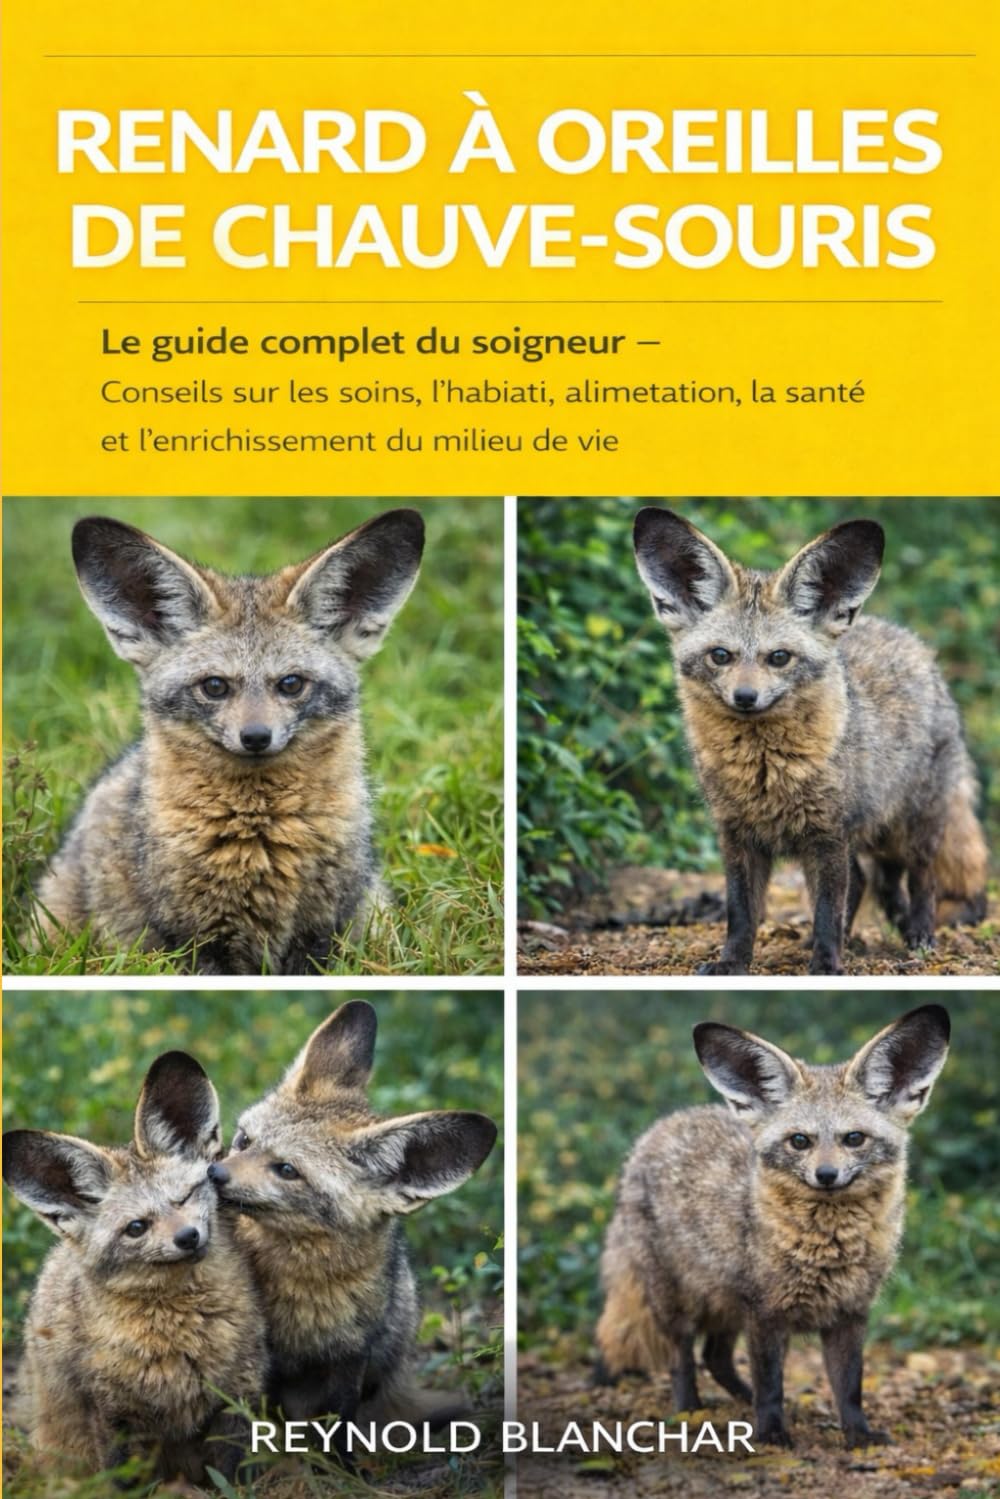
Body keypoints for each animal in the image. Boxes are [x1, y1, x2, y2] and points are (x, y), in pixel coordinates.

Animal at [2, 1050, 267, 1481]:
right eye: (136, 1228)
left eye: (184, 1198)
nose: (188, 1237)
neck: (181, 1335)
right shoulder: (113, 1415)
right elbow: (124, 1480)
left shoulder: (240, 1393)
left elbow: (235, 1475)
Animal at [33, 507, 425, 974]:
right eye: (215, 686)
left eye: (291, 684)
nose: (255, 736)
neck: (260, 834)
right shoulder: (194, 941)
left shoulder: (320, 931)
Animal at [208, 1000, 497, 1453]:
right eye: (243, 1141)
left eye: (287, 1170)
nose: (213, 1173)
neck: (301, 1292)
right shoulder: (261, 1357)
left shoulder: (350, 1357)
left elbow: (340, 1422)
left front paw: (340, 1465)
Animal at [595, 1004, 950, 1450]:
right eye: (800, 1141)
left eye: (854, 1139)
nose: (826, 1175)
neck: (827, 1247)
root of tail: (660, 1128)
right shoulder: (765, 1312)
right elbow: (771, 1385)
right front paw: (771, 1433)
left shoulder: (849, 1314)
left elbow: (849, 1387)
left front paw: (858, 1434)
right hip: (680, 1302)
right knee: (683, 1357)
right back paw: (690, 1408)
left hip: (726, 1304)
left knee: (715, 1358)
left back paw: (739, 1401)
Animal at [633, 507, 988, 975]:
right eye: (721, 656)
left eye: (779, 657)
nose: (745, 697)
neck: (764, 772)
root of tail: (913, 644)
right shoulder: (737, 835)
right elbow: (741, 913)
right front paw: (733, 963)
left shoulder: (827, 834)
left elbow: (826, 909)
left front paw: (826, 966)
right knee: (868, 881)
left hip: (917, 826)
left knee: (920, 881)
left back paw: (919, 935)